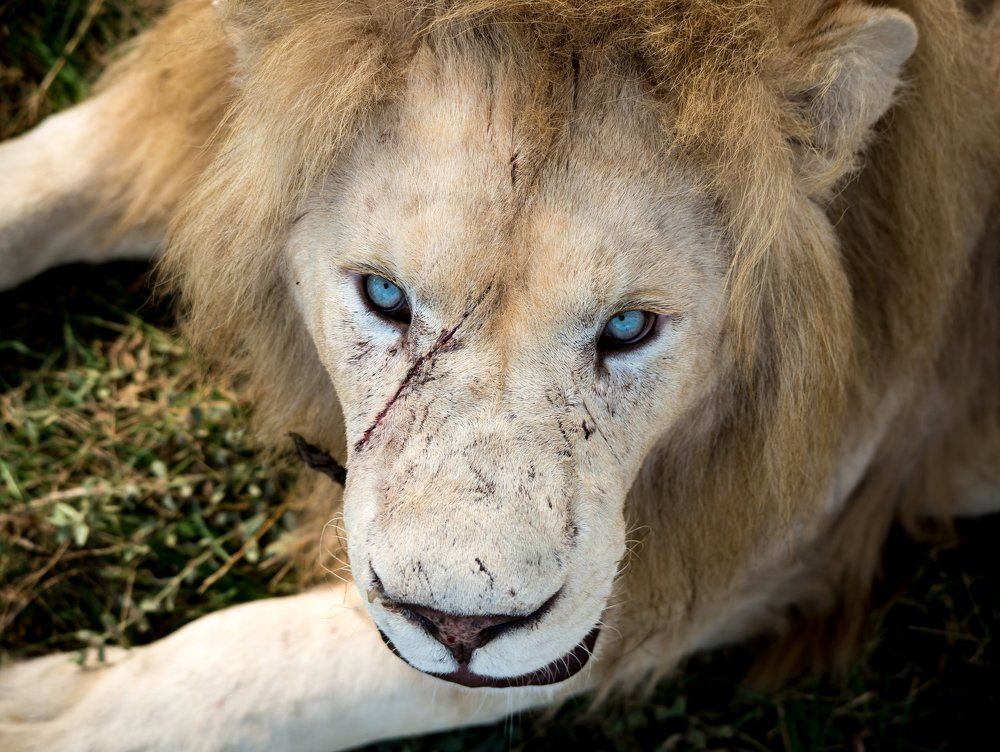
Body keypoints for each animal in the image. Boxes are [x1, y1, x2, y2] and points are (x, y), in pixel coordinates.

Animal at [0, 0, 998, 749]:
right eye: (384, 295)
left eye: (628, 327)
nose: (461, 630)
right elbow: (54, 169)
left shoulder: (755, 538)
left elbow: (294, 673)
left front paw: (50, 715)